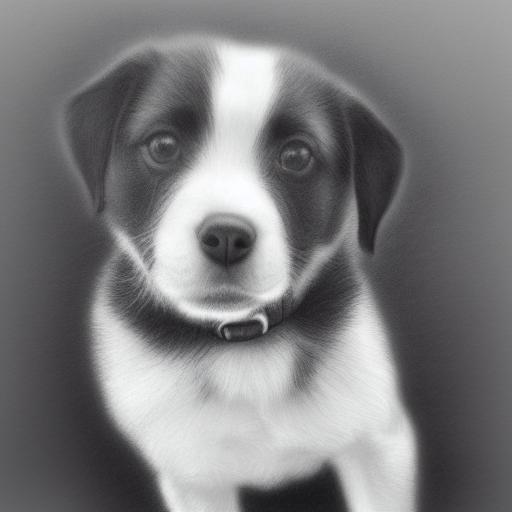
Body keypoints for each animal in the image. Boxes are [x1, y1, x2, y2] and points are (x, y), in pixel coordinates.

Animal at [63, 35, 417, 512]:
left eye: (297, 156)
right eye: (163, 146)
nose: (226, 236)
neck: (243, 345)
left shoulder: (380, 445)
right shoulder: (192, 477)